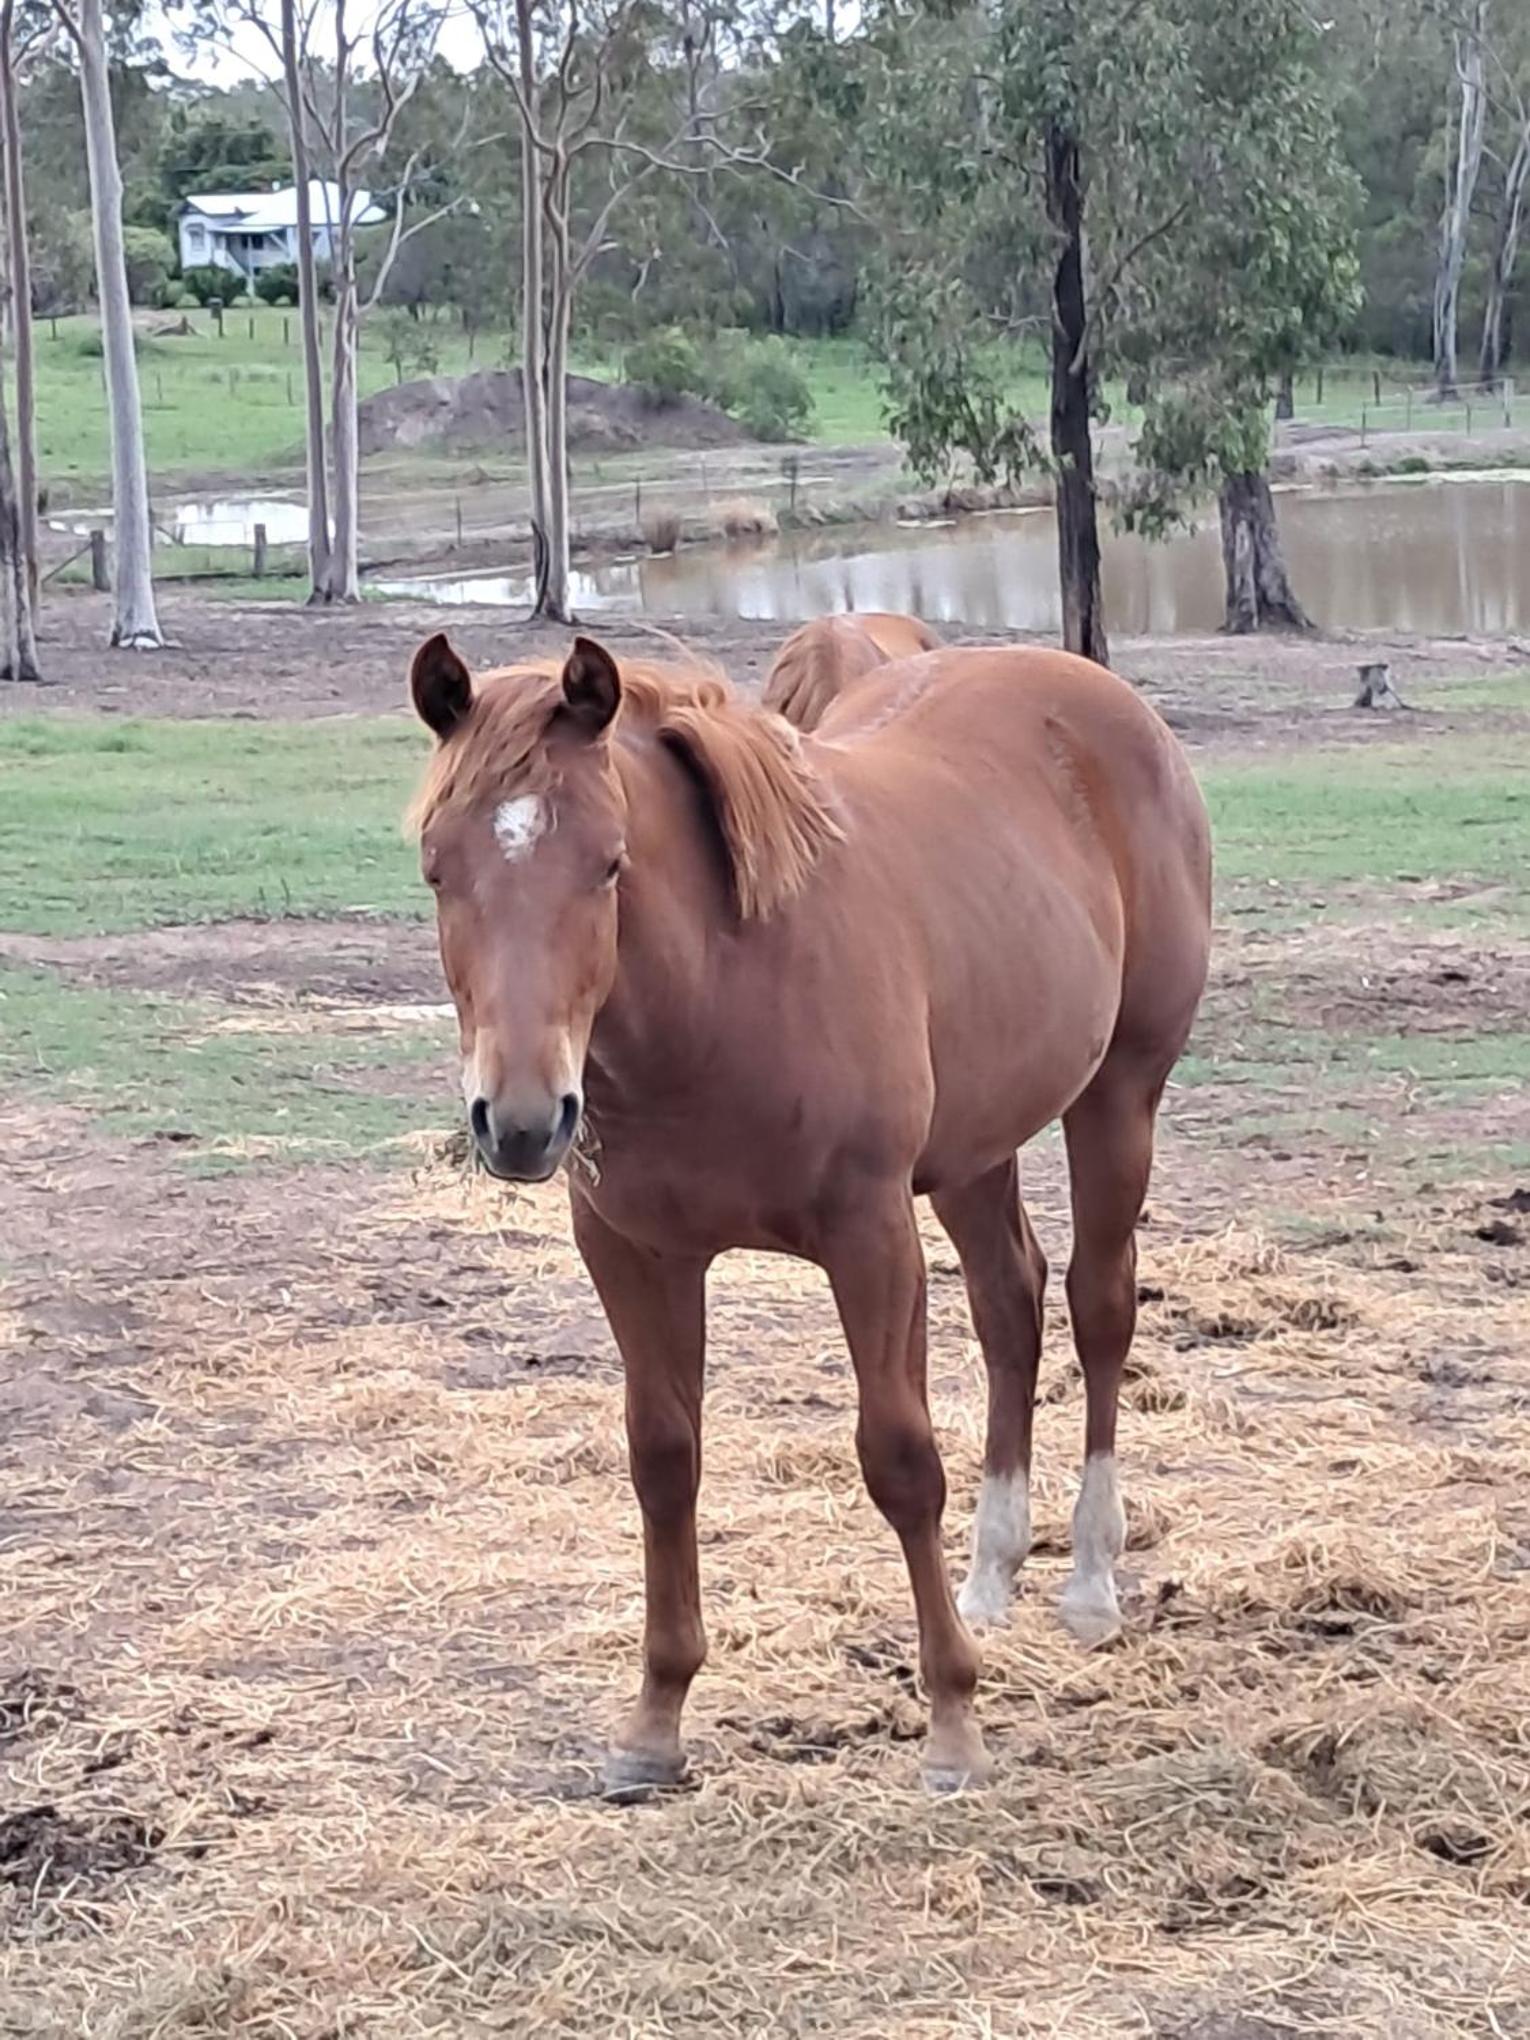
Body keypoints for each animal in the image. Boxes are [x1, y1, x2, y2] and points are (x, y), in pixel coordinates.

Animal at [408, 631, 1211, 1793]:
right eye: (438, 867)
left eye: (610, 864)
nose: (518, 1122)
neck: (725, 989)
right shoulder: (633, 1252)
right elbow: (664, 1460)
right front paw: (655, 1724)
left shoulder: (869, 1236)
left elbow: (901, 1460)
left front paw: (954, 1725)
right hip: (975, 1147)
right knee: (1010, 1310)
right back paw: (992, 1575)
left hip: (1119, 1097)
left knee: (1100, 1309)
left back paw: (1091, 1582)